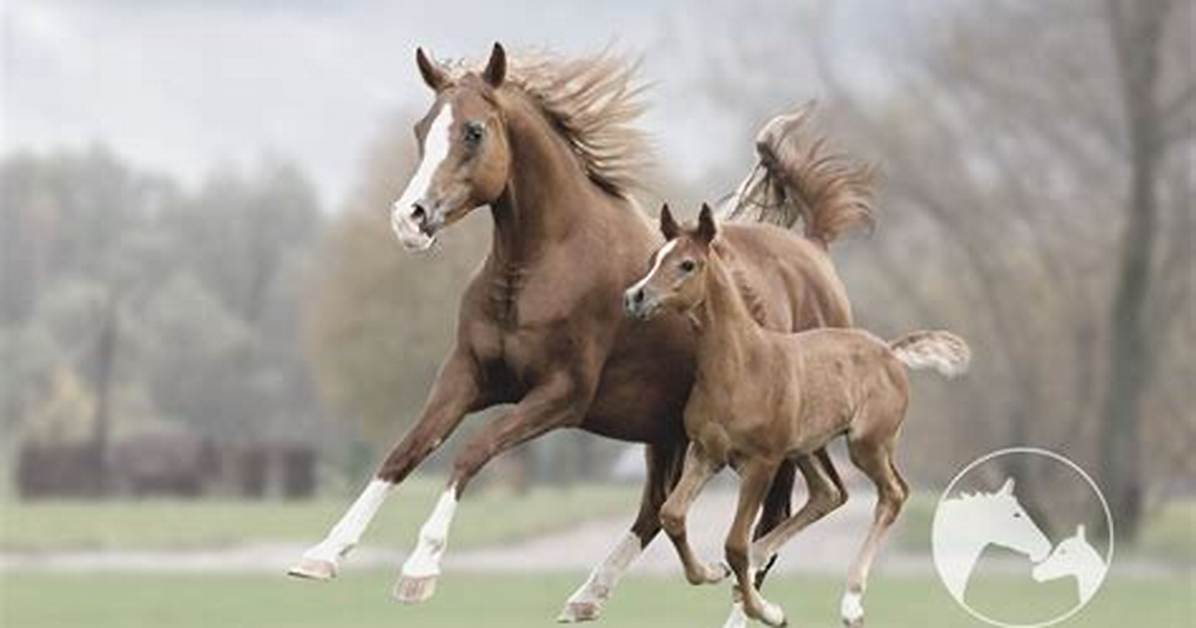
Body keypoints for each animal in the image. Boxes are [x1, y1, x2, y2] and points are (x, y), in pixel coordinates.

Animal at [288, 43, 876, 624]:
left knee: (769, 522)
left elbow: (471, 452)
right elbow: (405, 452)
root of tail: (815, 250)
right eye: (422, 128)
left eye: (474, 131)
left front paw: (420, 569)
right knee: (657, 510)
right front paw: (322, 555)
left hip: (775, 445)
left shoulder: (561, 396)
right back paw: (589, 594)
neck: (544, 263)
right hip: (665, 429)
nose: (408, 218)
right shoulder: (466, 377)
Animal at [622, 203, 971, 627]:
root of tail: (890, 352)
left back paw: (851, 601)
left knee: (893, 493)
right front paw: (712, 572)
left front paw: (768, 611)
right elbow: (672, 515)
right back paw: (753, 566)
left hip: (866, 445)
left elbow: (734, 542)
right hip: (806, 448)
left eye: (688, 264)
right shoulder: (707, 453)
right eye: (653, 259)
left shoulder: (763, 461)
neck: (741, 366)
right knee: (828, 492)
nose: (636, 296)